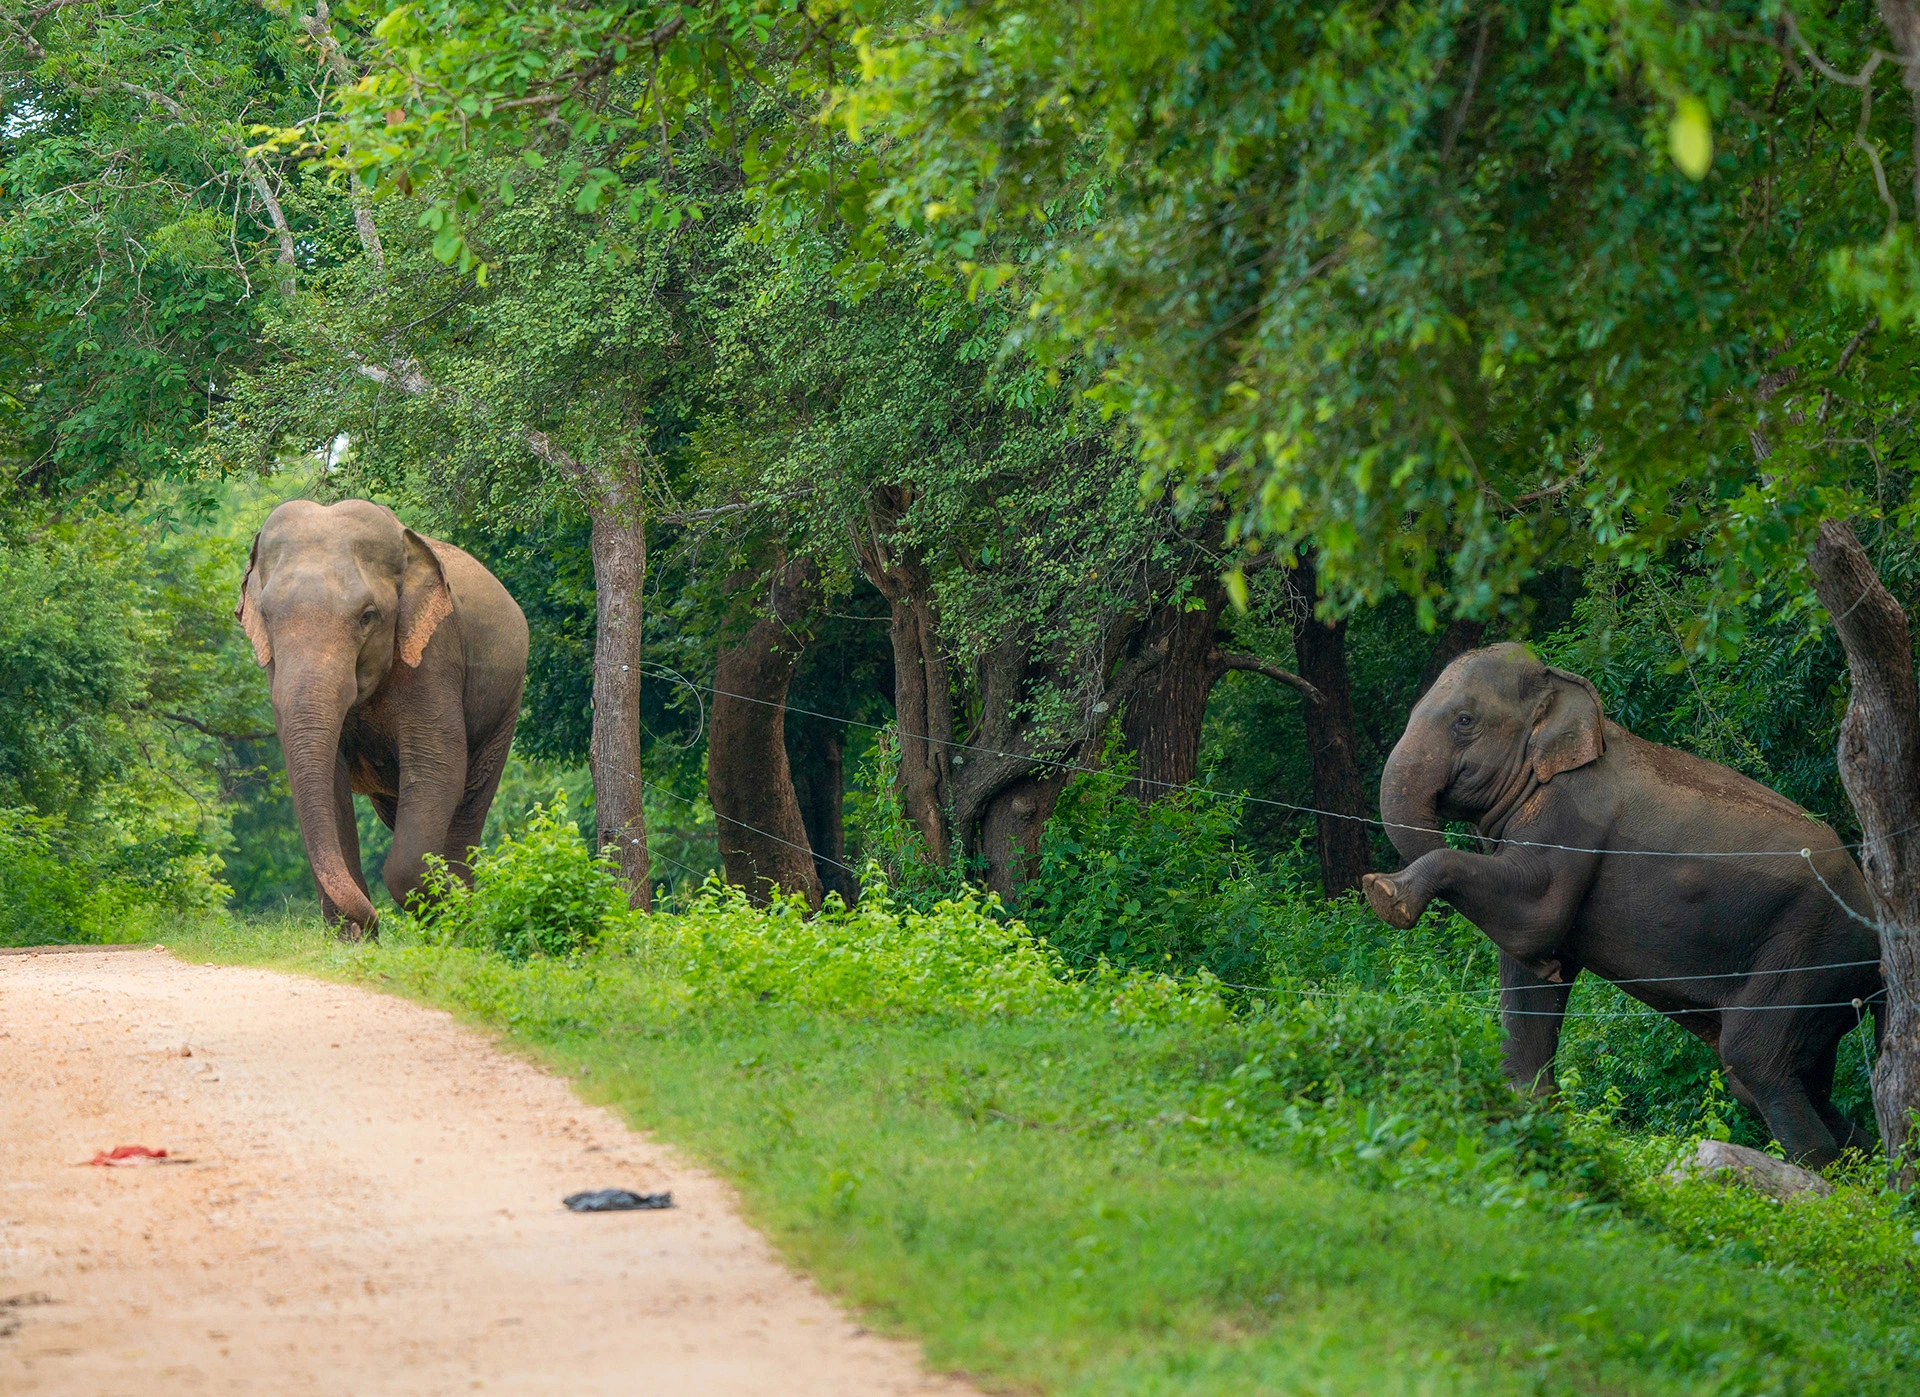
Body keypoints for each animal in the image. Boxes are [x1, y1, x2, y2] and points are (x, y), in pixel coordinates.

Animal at [236, 499, 529, 936]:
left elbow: (438, 764)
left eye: (368, 616)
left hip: (506, 706)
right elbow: (329, 781)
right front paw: (352, 939)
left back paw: (460, 915)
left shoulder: (434, 655)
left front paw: (445, 908)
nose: (372, 924)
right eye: (267, 617)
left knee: (468, 808)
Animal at [1360, 642, 1883, 1167]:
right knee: (1795, 1079)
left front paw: (1385, 893)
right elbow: (1527, 966)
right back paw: (1865, 1163)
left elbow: (1535, 914)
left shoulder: (1570, 816)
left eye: (1464, 720)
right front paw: (1529, 1109)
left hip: (1810, 951)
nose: (1554, 968)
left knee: (1753, 1058)